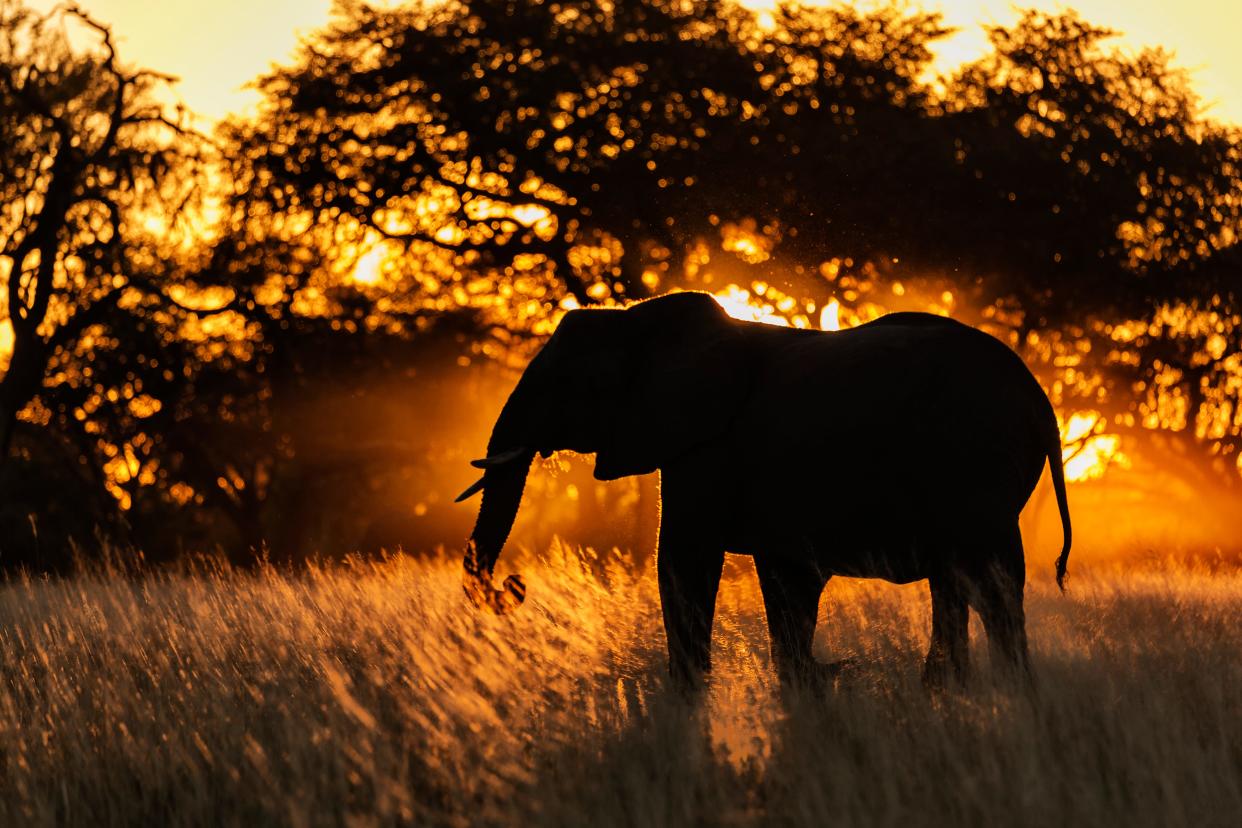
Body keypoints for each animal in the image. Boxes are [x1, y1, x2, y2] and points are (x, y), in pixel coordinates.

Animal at [457, 292, 1068, 695]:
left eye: (571, 384)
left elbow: (683, 560)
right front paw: (806, 686)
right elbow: (784, 583)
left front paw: (689, 699)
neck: (638, 320)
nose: (514, 586)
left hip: (975, 458)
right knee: (960, 579)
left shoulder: (708, 445)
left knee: (990, 582)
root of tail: (1040, 399)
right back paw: (951, 692)